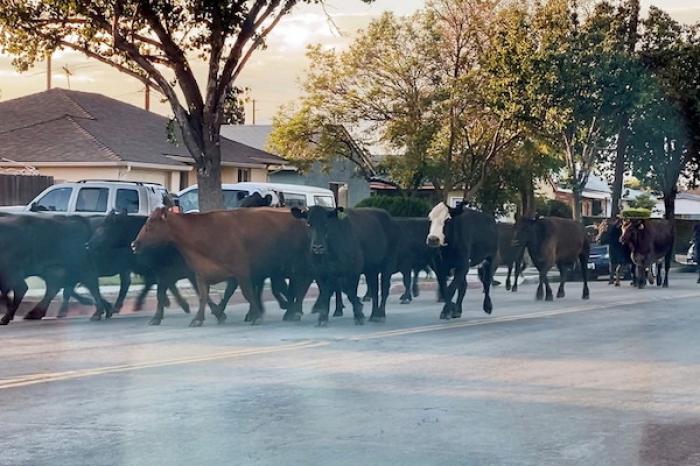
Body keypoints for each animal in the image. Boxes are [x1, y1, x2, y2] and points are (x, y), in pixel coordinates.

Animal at [133, 209, 312, 326]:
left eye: (150, 223)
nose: (134, 244)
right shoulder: (200, 273)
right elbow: (203, 296)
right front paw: (198, 319)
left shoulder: (241, 270)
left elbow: (247, 293)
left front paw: (256, 316)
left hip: (298, 266)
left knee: (301, 285)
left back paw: (293, 311)